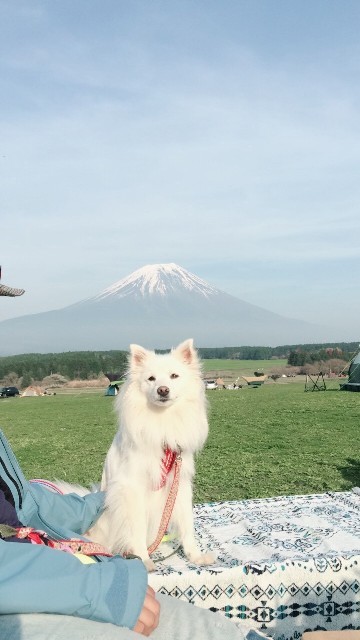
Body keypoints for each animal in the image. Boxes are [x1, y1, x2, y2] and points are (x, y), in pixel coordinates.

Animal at [83, 338, 212, 572]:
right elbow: (137, 530)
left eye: (174, 376)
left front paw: (195, 556)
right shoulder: (132, 489)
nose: (162, 390)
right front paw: (143, 560)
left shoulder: (180, 484)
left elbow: (187, 525)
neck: (162, 421)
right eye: (151, 379)